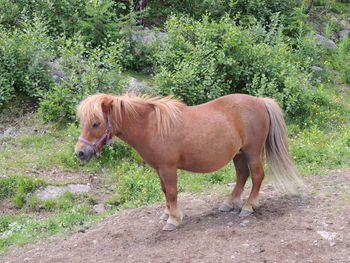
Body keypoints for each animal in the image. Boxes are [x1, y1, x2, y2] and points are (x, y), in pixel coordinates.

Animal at [74, 93, 304, 231]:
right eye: (84, 122)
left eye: (96, 123)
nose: (80, 153)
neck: (151, 126)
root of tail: (260, 100)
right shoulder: (159, 169)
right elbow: (165, 191)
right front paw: (168, 213)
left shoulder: (168, 168)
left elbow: (172, 192)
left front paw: (173, 219)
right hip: (238, 154)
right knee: (242, 176)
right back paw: (229, 203)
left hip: (252, 152)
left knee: (257, 176)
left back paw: (248, 206)